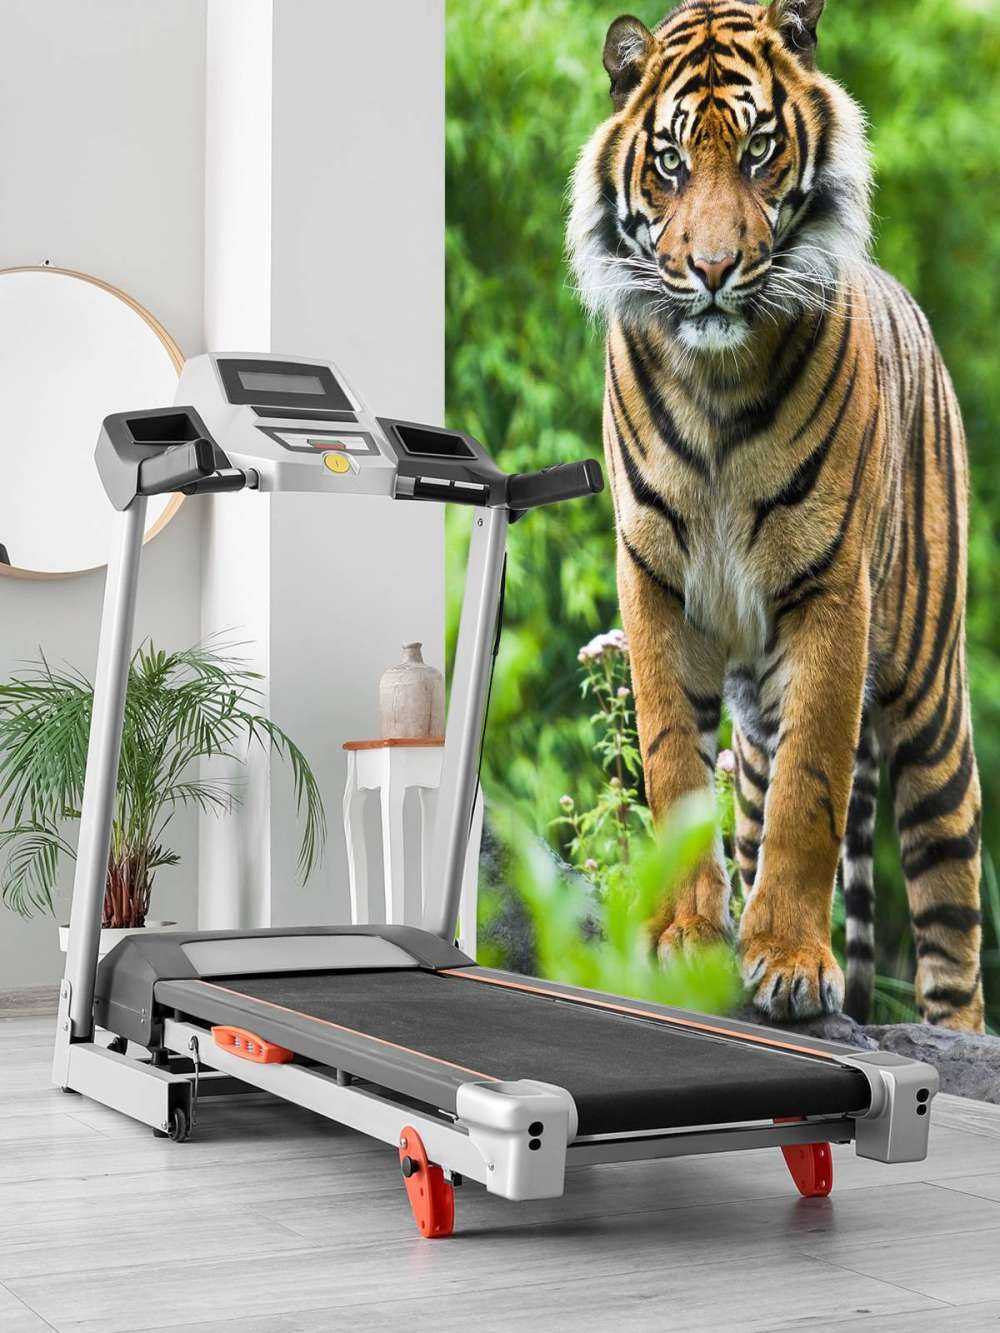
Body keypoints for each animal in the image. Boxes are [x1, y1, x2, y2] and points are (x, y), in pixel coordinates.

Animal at [567, 0, 984, 1030]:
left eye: (759, 150)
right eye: (671, 161)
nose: (714, 269)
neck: (716, 378)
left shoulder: (830, 589)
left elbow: (813, 791)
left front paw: (793, 963)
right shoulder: (655, 579)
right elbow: (675, 769)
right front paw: (687, 942)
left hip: (932, 706)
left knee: (951, 916)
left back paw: (952, 1030)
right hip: (757, 716)